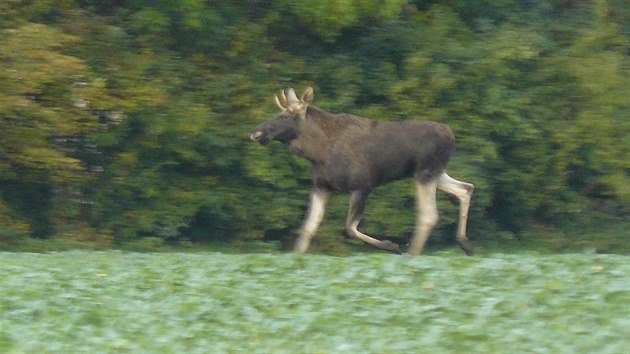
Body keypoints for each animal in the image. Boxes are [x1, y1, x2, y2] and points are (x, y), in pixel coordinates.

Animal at [251, 87, 474, 256]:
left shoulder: (363, 185)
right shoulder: (322, 188)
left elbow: (349, 228)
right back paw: (465, 244)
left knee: (429, 214)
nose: (256, 133)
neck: (318, 153)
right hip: (435, 173)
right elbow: (307, 228)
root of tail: (451, 135)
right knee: (466, 188)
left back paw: (413, 255)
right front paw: (297, 258)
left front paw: (391, 246)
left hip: (425, 172)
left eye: (286, 115)